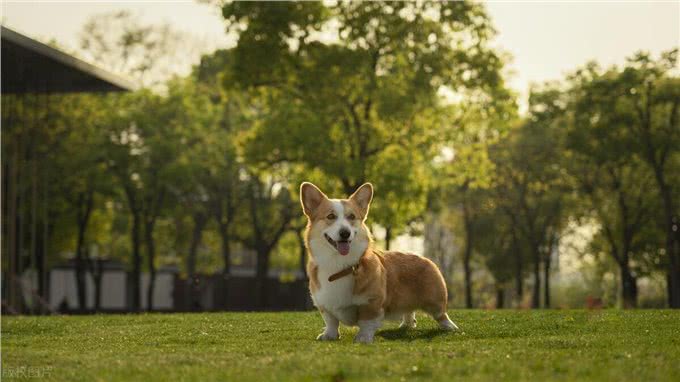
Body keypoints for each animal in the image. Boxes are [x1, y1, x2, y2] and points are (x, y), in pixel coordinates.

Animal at [302, 182, 456, 344]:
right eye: (330, 216)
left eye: (352, 216)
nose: (345, 233)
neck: (338, 265)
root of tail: (424, 258)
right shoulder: (324, 304)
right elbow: (331, 321)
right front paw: (329, 335)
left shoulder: (371, 303)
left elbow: (366, 322)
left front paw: (363, 338)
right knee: (409, 311)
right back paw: (406, 325)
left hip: (436, 301)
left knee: (441, 315)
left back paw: (450, 327)